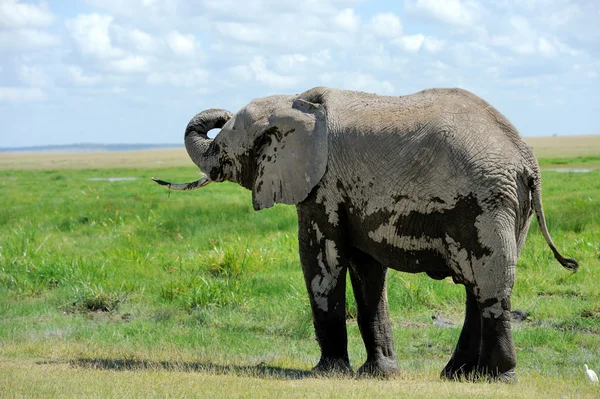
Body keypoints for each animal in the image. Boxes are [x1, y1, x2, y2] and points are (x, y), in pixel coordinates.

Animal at [154, 86, 576, 382]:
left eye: (221, 146)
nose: (221, 115)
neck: (296, 102)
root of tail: (527, 158)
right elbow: (366, 270)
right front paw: (379, 375)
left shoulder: (322, 184)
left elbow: (321, 261)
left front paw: (327, 372)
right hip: (510, 206)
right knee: (480, 284)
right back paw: (459, 376)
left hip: (487, 202)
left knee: (490, 282)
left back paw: (498, 378)